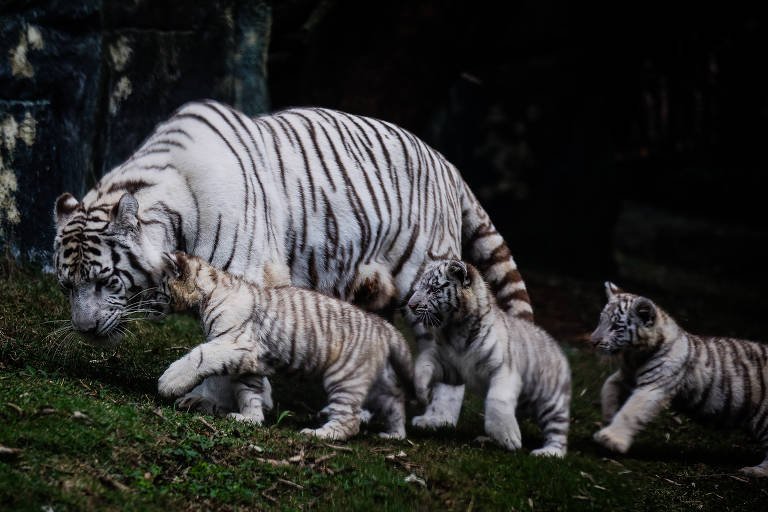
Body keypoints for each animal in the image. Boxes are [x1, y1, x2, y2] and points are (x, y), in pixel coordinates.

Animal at [157, 251, 415, 440]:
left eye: (164, 285)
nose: (156, 301)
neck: (209, 294)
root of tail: (382, 325)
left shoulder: (234, 343)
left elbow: (199, 356)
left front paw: (169, 382)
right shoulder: (249, 362)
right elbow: (248, 392)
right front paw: (250, 418)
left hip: (346, 377)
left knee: (350, 421)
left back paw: (319, 434)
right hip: (373, 379)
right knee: (394, 401)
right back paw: (394, 434)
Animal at [407, 259, 571, 457]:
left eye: (433, 289)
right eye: (418, 287)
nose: (410, 305)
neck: (456, 329)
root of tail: (557, 347)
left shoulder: (503, 369)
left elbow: (497, 400)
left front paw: (509, 438)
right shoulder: (451, 366)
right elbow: (424, 363)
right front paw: (422, 393)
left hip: (551, 402)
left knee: (558, 433)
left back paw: (548, 452)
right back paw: (486, 440)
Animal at [591, 282, 768, 477]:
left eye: (615, 327)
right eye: (601, 321)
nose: (592, 341)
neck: (635, 354)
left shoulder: (653, 387)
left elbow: (631, 410)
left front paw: (610, 439)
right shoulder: (627, 377)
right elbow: (608, 387)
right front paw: (608, 417)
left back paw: (755, 471)